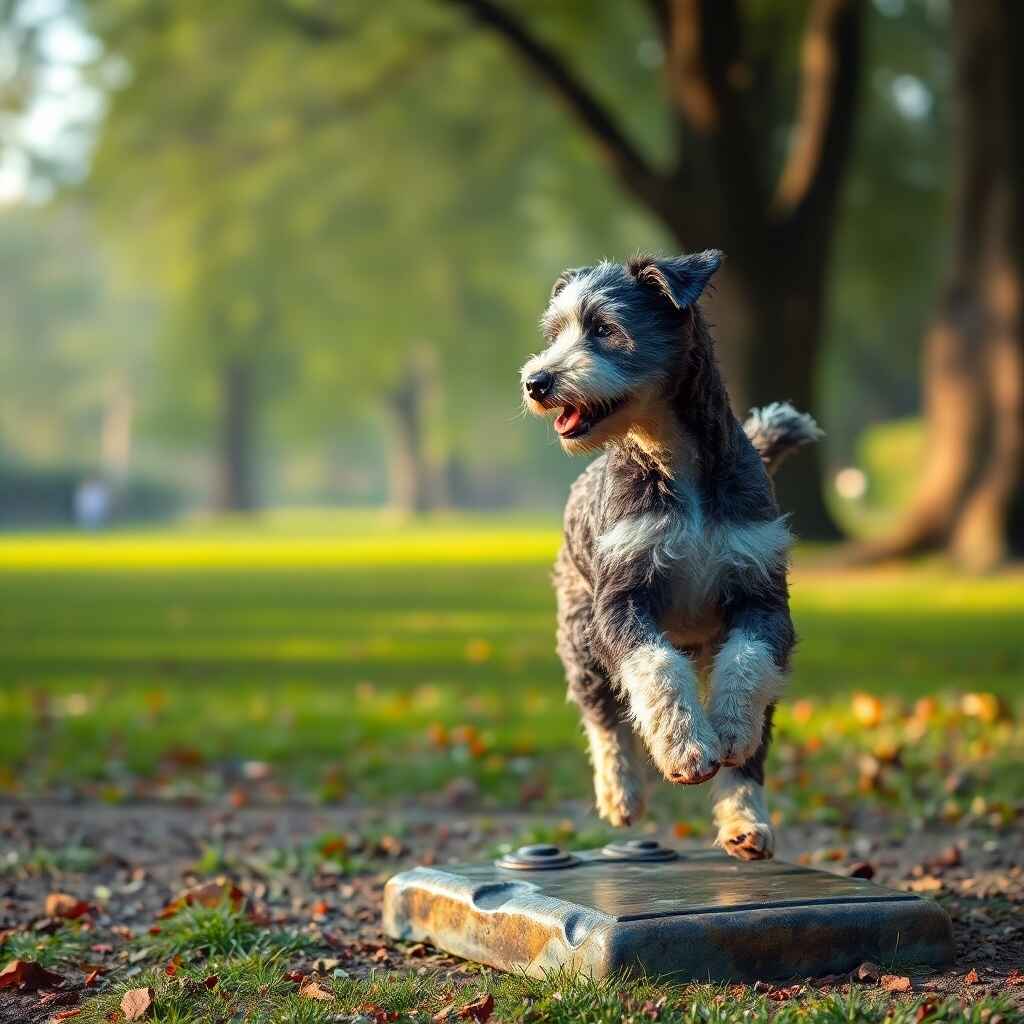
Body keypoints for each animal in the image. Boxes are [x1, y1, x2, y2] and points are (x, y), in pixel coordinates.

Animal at [524, 251, 819, 860]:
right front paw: (684, 748)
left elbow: (747, 668)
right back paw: (621, 793)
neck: (672, 460)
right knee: (604, 716)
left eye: (605, 328)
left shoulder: (762, 599)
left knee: (753, 744)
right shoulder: (620, 601)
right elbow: (654, 670)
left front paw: (728, 730)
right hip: (579, 635)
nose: (535, 381)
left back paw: (746, 821)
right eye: (556, 332)